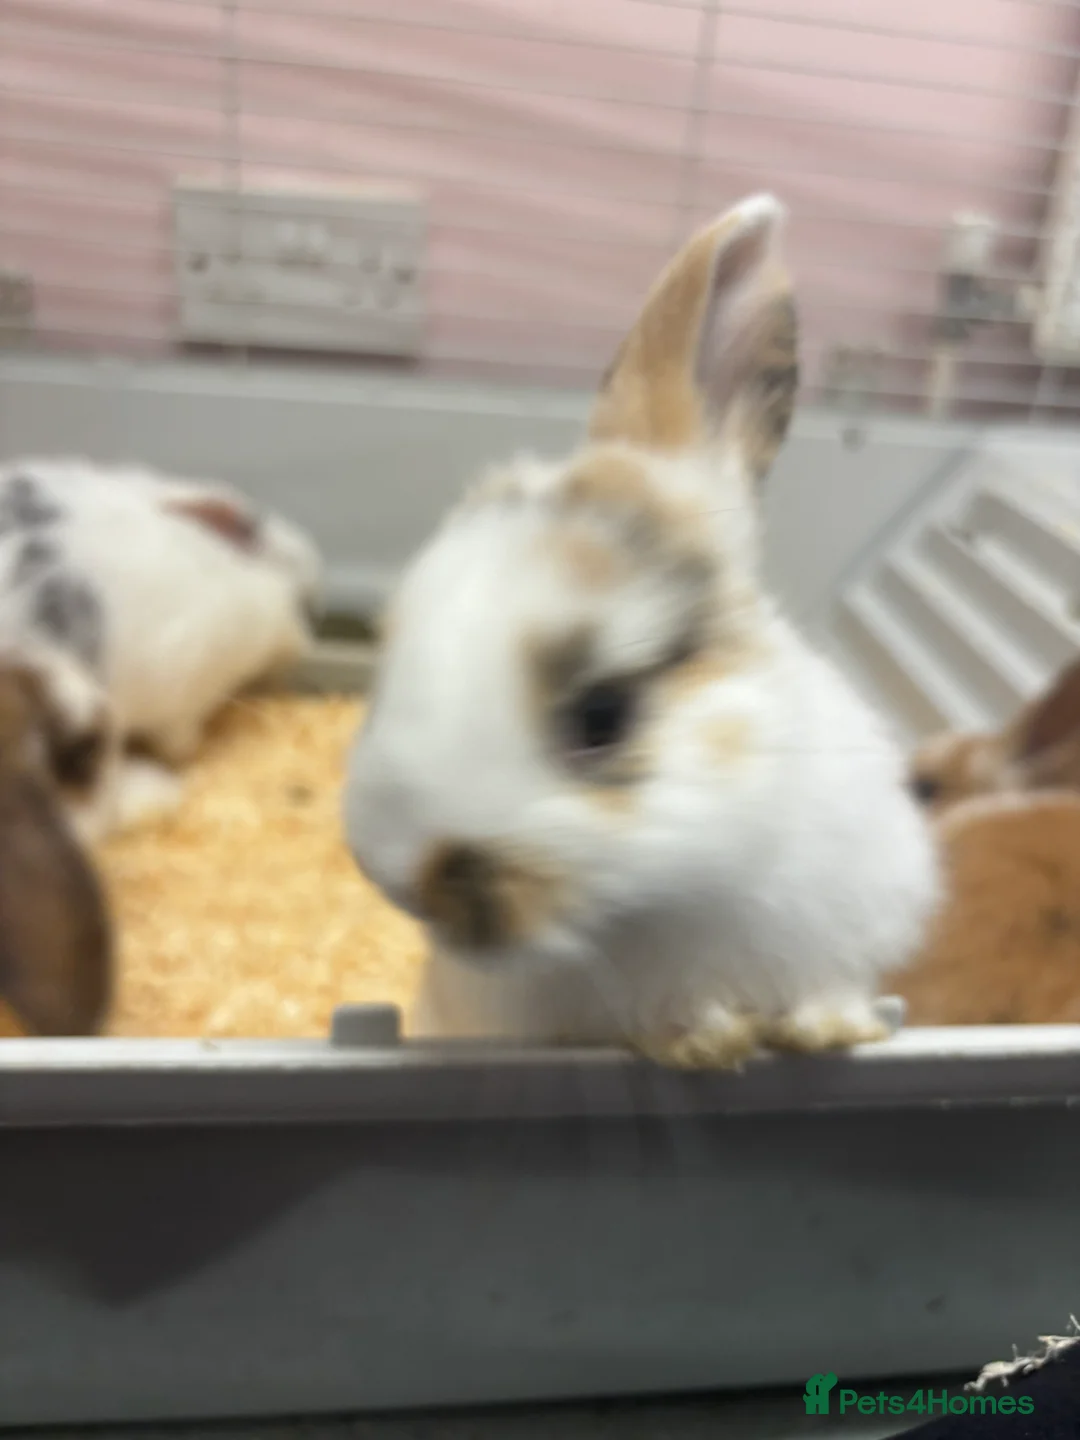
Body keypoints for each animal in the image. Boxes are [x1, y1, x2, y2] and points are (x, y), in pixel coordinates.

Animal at [343, 194, 940, 1069]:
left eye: (602, 715)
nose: (407, 881)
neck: (686, 891)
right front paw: (708, 1044)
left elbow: (825, 989)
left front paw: (826, 1032)